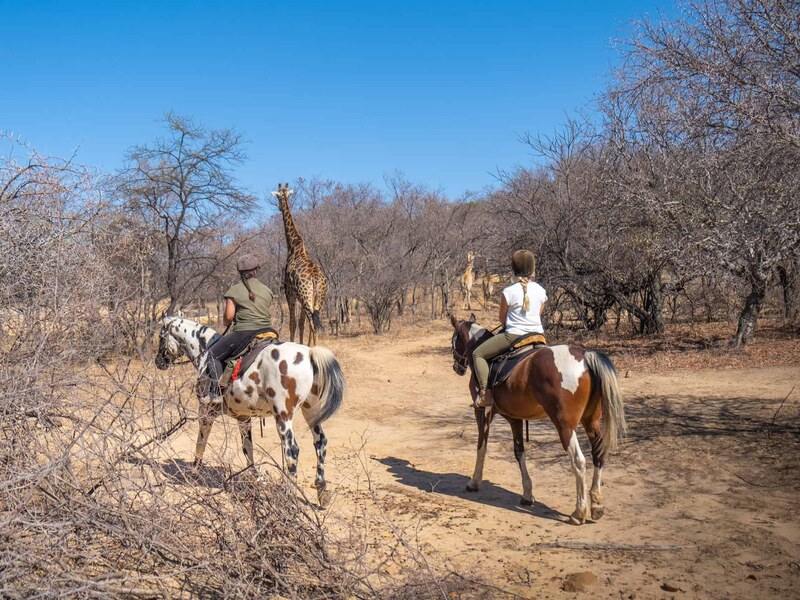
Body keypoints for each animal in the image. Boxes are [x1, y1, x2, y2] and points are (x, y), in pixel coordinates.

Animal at [155, 316, 344, 506]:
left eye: (161, 337)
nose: (158, 362)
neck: (204, 351)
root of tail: (309, 353)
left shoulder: (206, 411)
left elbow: (201, 442)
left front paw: (193, 473)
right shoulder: (243, 417)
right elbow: (248, 449)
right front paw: (257, 479)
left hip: (283, 416)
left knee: (292, 451)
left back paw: (289, 495)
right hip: (311, 413)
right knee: (320, 442)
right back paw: (321, 490)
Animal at [448, 314, 626, 524]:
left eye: (453, 340)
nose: (457, 367)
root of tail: (585, 357)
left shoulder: (483, 412)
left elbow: (481, 446)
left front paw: (474, 482)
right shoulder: (514, 418)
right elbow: (519, 452)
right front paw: (527, 494)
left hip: (565, 426)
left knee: (578, 461)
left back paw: (578, 512)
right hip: (592, 421)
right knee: (598, 454)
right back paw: (597, 506)